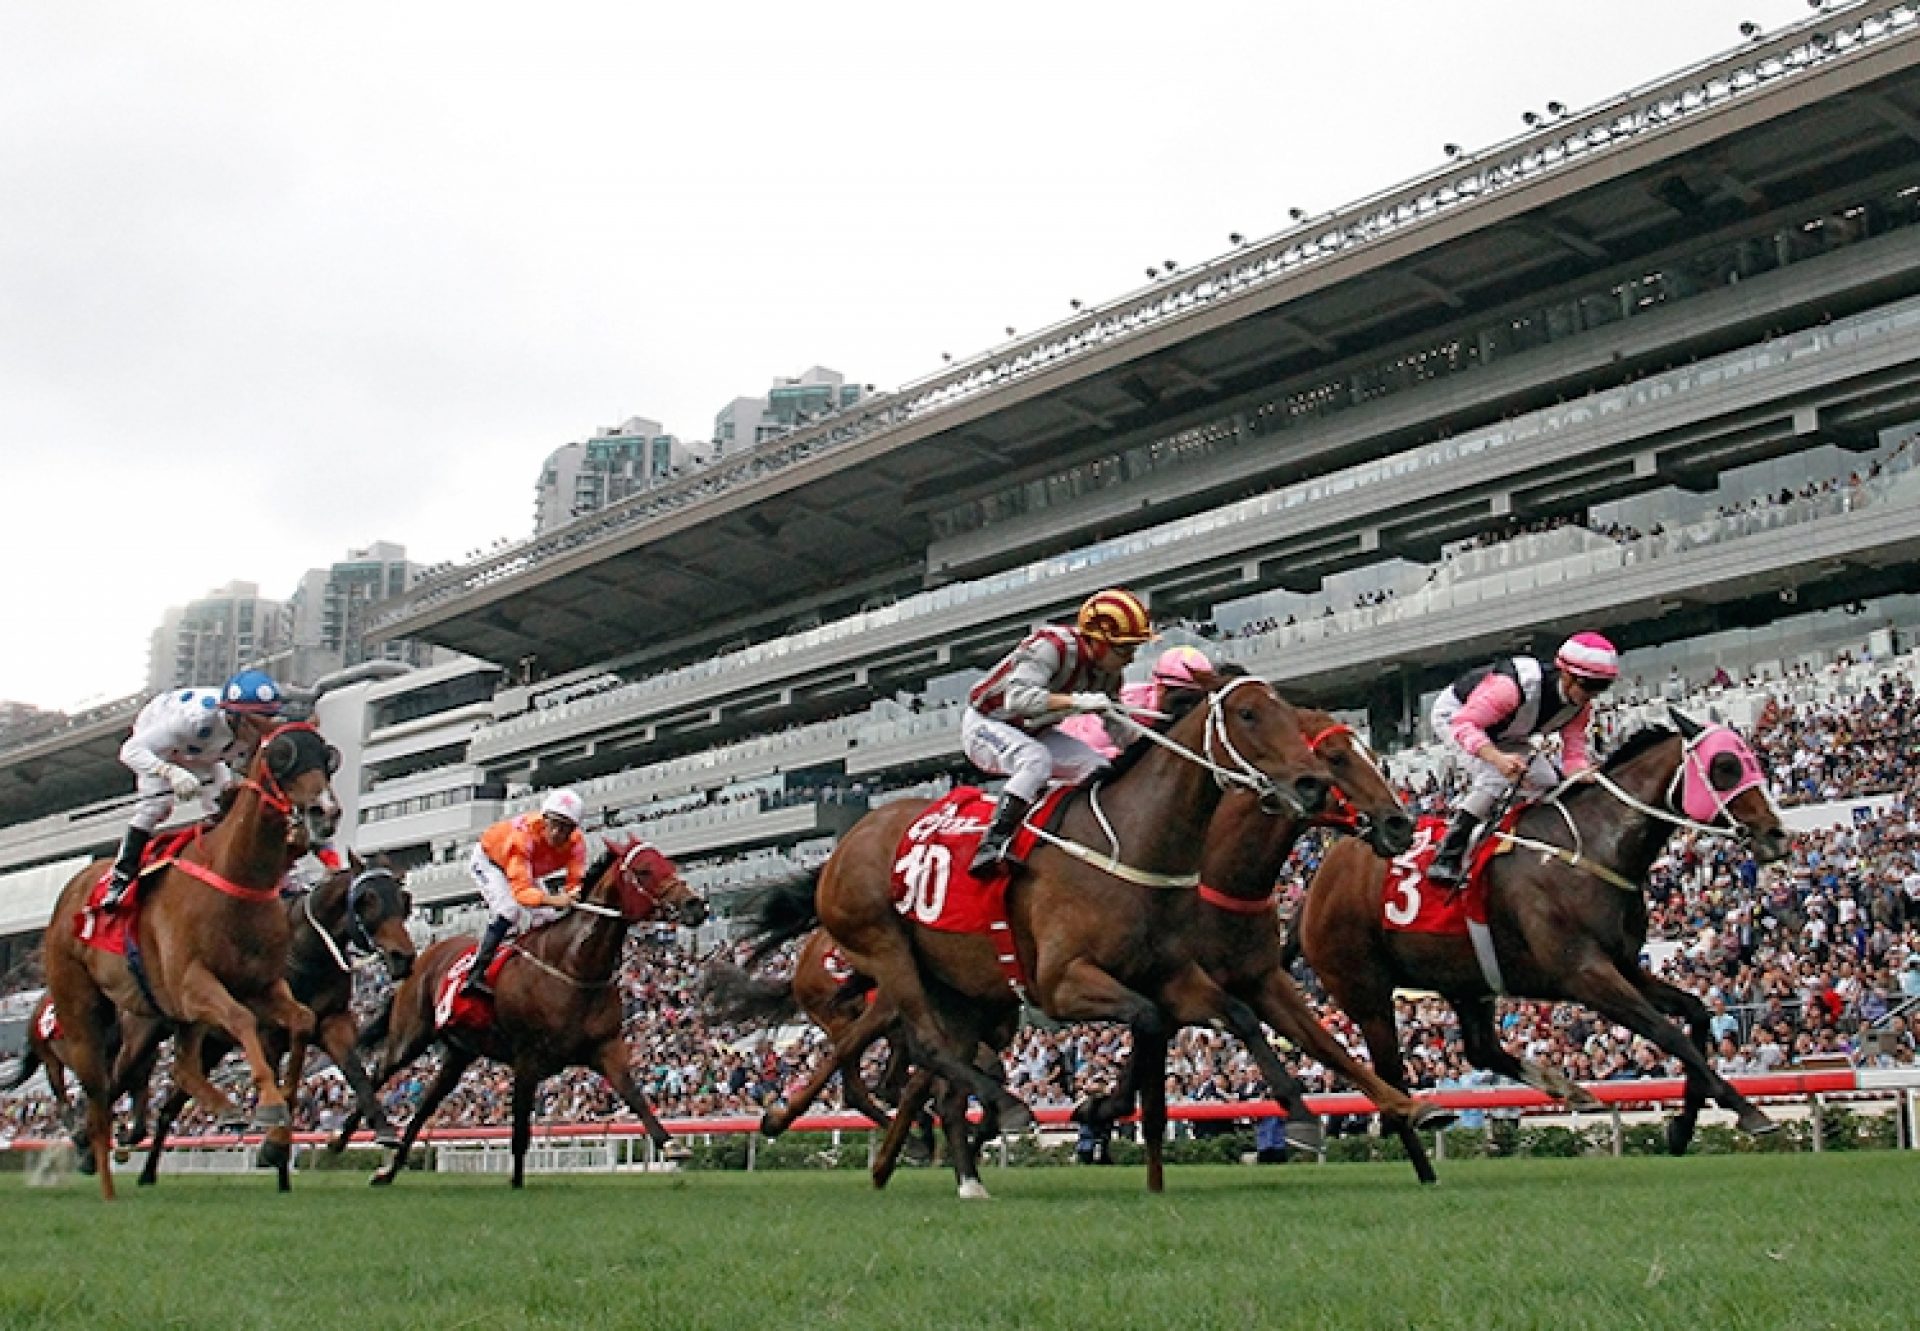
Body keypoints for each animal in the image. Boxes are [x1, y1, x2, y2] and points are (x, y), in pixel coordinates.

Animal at [41, 722, 341, 1198]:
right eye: (283, 754)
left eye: (328, 757)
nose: (324, 811)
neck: (235, 875)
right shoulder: (192, 984)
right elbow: (241, 1019)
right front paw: (270, 1105)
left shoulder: (262, 985)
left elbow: (301, 1021)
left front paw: (277, 1136)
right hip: (86, 1008)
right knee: (98, 1087)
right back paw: (99, 1167)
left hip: (164, 1017)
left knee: (175, 1069)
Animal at [345, 837, 706, 1190]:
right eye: (644, 870)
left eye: (668, 864)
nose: (696, 905)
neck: (573, 967)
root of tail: (419, 958)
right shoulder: (527, 1058)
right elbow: (520, 1128)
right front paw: (517, 1182)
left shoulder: (607, 1048)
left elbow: (634, 1095)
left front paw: (672, 1144)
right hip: (409, 1038)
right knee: (378, 1074)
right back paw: (343, 1139)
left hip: (459, 1054)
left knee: (423, 1110)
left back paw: (388, 1170)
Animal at [1297, 710, 1789, 1175]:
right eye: (1725, 766)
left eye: (1752, 758)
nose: (1776, 835)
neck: (1588, 848)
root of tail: (1316, 882)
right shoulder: (1585, 974)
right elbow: (1669, 1034)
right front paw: (1747, 1110)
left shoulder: (1623, 966)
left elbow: (1697, 1013)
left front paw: (1684, 1125)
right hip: (1366, 992)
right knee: (1391, 1079)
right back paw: (1425, 1165)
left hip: (1465, 980)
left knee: (1480, 1049)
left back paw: (1570, 1090)